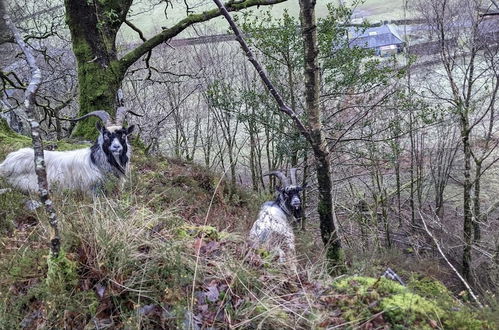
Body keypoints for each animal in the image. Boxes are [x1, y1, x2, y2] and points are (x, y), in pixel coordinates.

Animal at [0, 109, 135, 195]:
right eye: (106, 134)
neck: (96, 162)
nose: (116, 147)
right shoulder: (91, 190)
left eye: (123, 134)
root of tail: (5, 164)